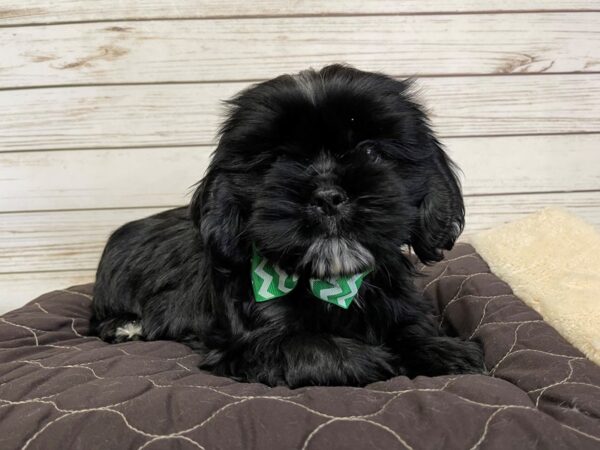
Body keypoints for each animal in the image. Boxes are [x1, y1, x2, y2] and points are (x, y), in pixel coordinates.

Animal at [91, 63, 486, 386]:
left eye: (371, 152)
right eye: (278, 160)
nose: (328, 196)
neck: (331, 282)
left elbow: (411, 326)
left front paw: (442, 350)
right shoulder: (248, 344)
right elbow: (308, 348)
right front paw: (372, 359)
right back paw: (126, 327)